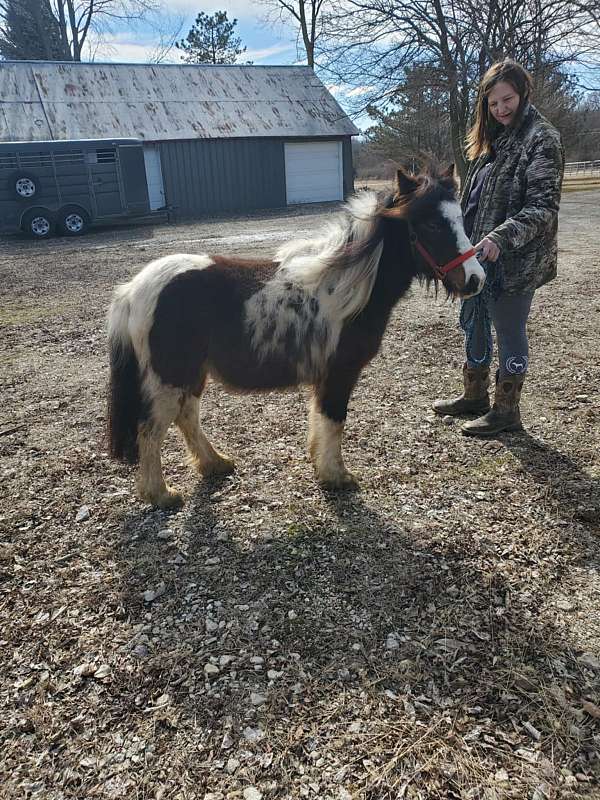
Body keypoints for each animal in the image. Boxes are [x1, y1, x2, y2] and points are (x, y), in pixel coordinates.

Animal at [106, 166, 482, 506]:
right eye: (431, 224)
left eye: (460, 219)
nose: (476, 279)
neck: (347, 289)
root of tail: (132, 290)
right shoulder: (340, 373)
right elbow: (334, 419)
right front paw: (336, 475)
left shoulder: (326, 375)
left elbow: (320, 417)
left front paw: (319, 463)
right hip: (169, 377)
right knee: (151, 429)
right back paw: (161, 494)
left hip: (191, 374)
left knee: (186, 417)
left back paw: (215, 463)